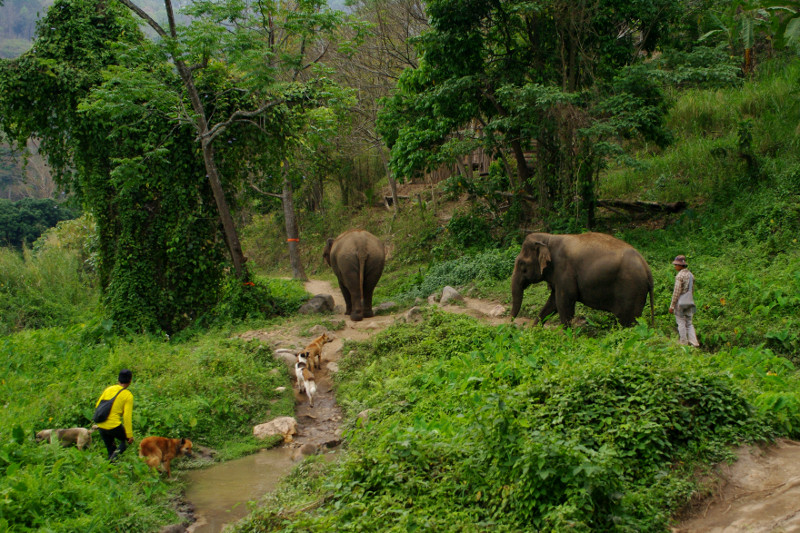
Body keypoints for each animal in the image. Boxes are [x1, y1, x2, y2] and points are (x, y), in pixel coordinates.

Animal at [512, 232, 656, 326]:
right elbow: (552, 303)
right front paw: (533, 332)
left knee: (628, 323)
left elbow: (563, 302)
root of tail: (646, 268)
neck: (548, 238)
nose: (511, 324)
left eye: (522, 264)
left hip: (631, 291)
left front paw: (567, 337)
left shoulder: (564, 270)